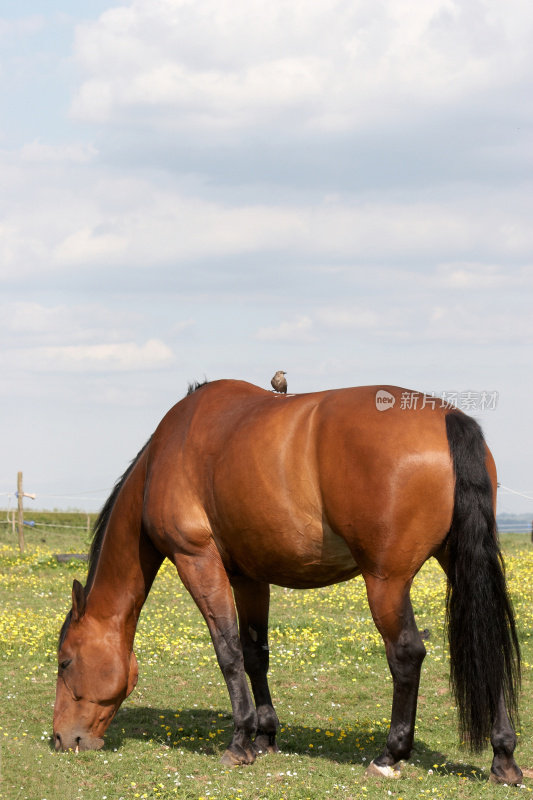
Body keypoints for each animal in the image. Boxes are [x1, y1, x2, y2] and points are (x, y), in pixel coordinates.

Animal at [53, 380, 520, 780]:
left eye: (65, 662)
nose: (60, 739)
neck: (165, 455)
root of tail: (449, 418)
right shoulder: (248, 577)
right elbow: (254, 654)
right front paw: (265, 736)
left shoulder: (197, 560)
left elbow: (227, 653)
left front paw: (240, 742)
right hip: (454, 562)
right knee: (487, 644)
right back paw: (504, 758)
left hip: (386, 582)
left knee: (406, 654)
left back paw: (390, 755)